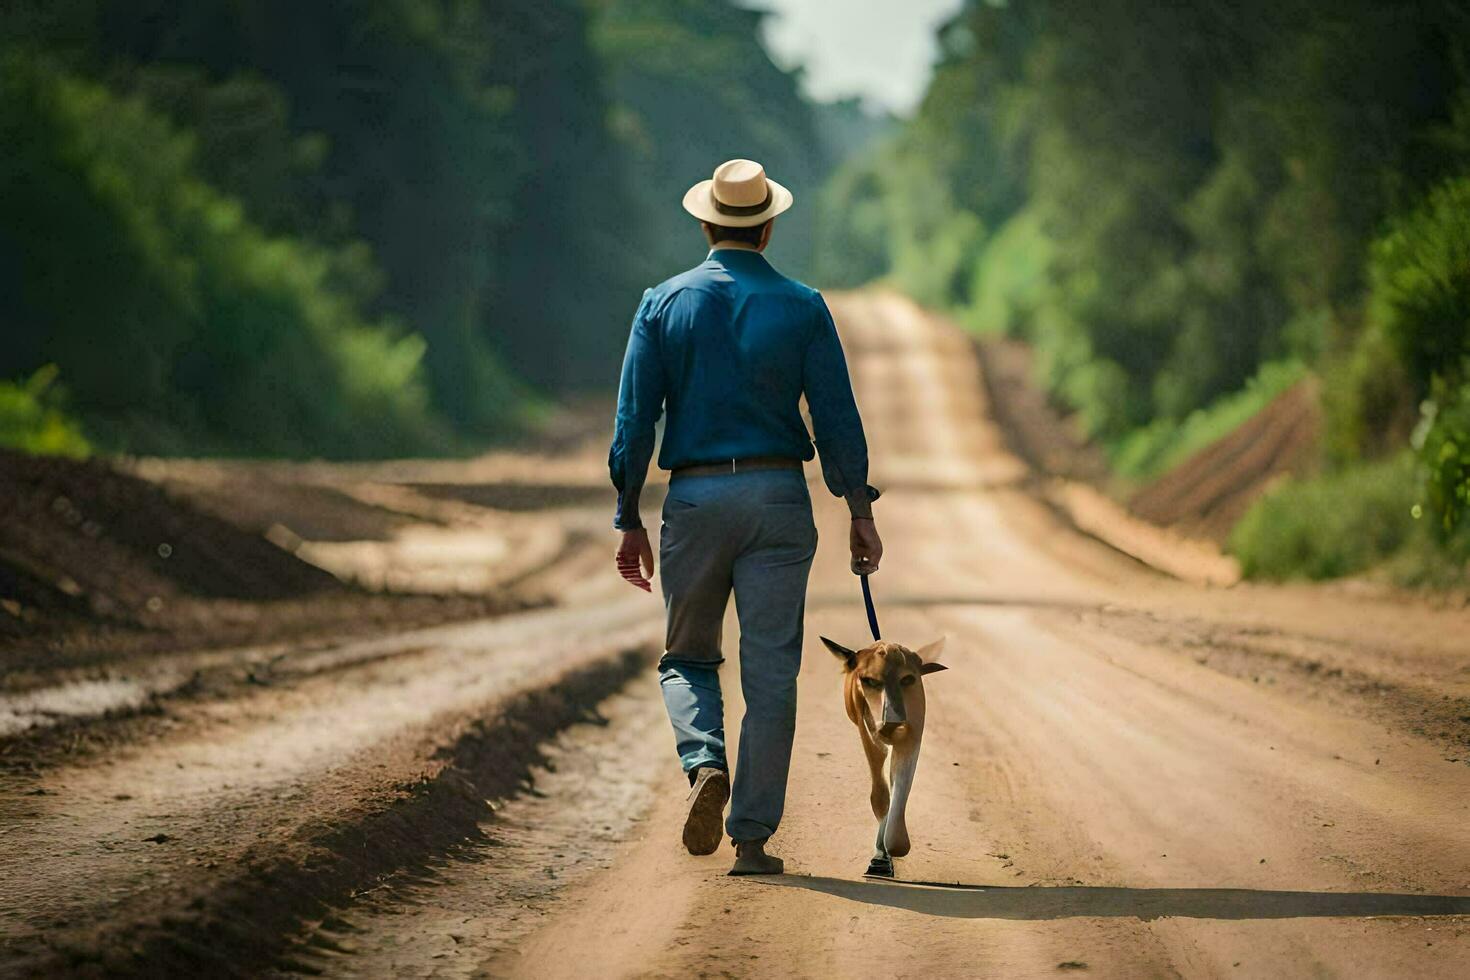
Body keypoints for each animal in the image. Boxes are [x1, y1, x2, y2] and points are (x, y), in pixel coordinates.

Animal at [823, 640, 946, 875]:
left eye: (907, 679)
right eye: (870, 680)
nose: (891, 722)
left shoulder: (912, 735)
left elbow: (900, 788)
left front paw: (893, 846)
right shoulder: (868, 732)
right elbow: (881, 795)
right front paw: (880, 858)